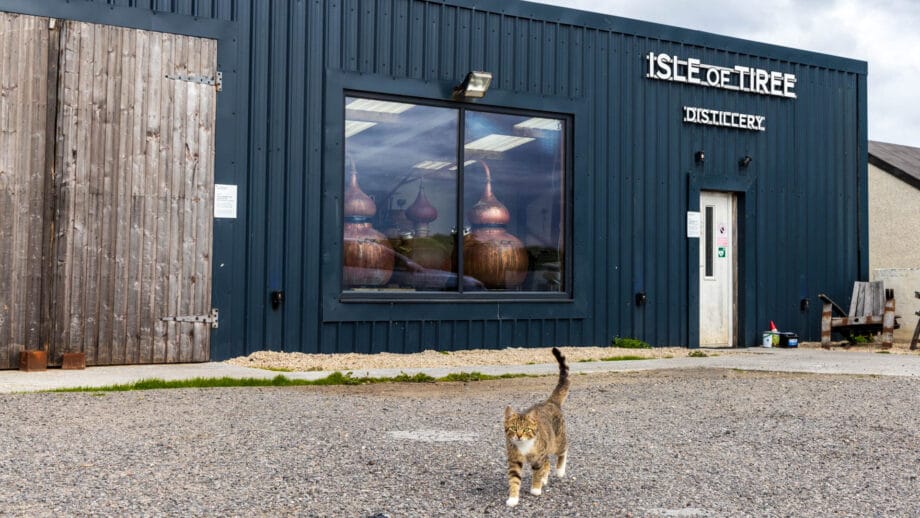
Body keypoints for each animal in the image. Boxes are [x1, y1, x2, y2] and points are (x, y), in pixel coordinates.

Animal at [504, 350, 568, 508]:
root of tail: (550, 402)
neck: (524, 446)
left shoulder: (539, 456)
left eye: (526, 429)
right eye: (513, 428)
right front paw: (513, 498)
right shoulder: (514, 460)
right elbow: (514, 479)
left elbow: (537, 473)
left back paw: (560, 470)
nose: (519, 435)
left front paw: (536, 489)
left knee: (563, 450)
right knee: (548, 462)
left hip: (557, 441)